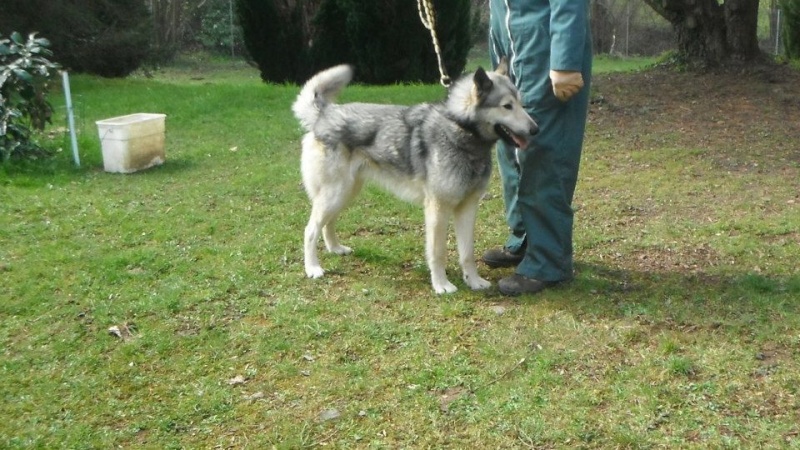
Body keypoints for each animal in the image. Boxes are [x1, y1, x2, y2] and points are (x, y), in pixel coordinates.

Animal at [294, 61, 536, 294]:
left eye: (520, 103)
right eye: (507, 106)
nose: (535, 129)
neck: (459, 132)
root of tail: (324, 114)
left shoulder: (468, 208)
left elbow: (467, 253)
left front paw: (474, 281)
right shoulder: (438, 209)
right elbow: (438, 252)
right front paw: (441, 285)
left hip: (345, 193)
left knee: (327, 223)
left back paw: (335, 249)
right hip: (336, 193)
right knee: (310, 230)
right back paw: (313, 268)